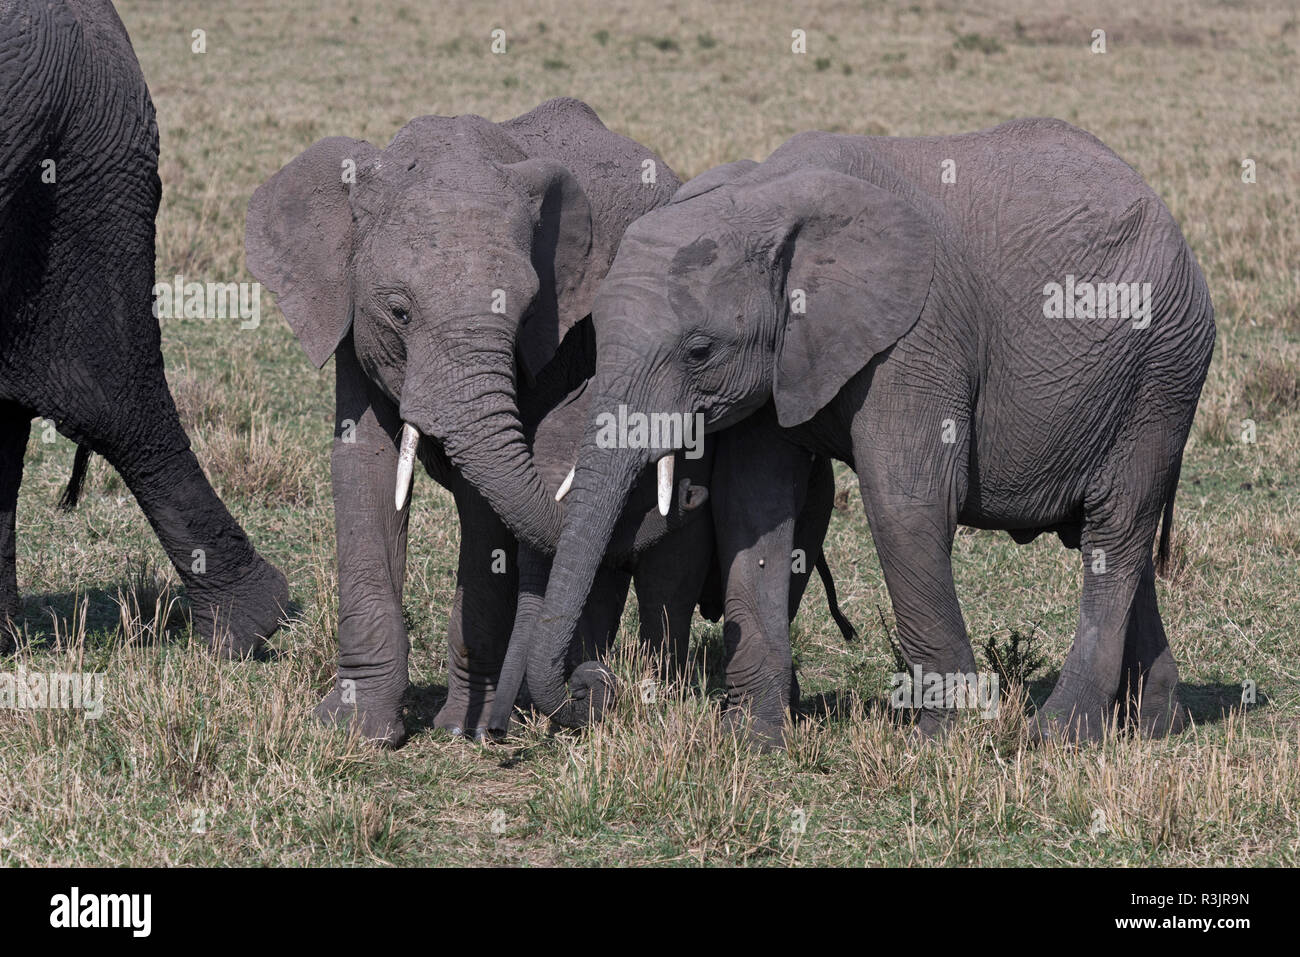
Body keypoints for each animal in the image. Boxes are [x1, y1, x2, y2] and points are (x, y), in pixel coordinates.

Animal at [243, 95, 691, 738]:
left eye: (527, 312)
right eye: (398, 312)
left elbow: (486, 512)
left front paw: (461, 729)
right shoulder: (352, 323)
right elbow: (364, 467)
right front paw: (353, 730)